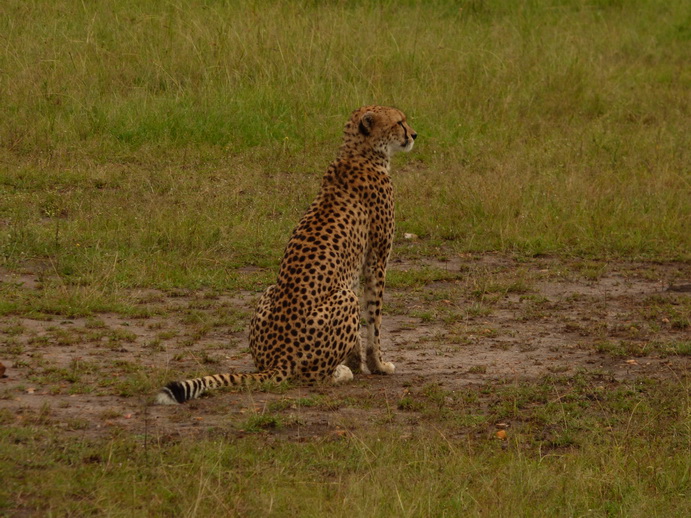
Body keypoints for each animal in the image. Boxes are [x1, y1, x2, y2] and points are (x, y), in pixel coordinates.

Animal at [157, 106, 416, 406]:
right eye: (399, 122)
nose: (414, 134)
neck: (359, 153)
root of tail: (277, 360)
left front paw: (356, 361)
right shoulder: (377, 260)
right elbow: (375, 320)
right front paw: (378, 366)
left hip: (270, 290)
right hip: (344, 298)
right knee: (312, 375)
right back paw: (339, 374)